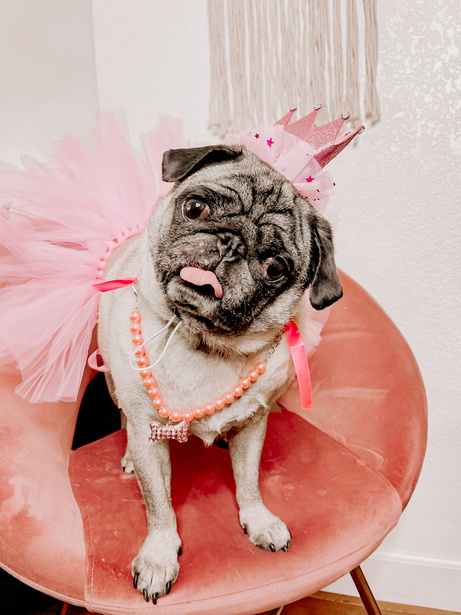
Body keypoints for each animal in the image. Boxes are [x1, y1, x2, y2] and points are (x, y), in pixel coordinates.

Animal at [97, 143, 343, 602]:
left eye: (275, 267)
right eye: (195, 208)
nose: (232, 242)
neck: (204, 342)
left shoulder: (255, 424)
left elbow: (249, 481)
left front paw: (258, 519)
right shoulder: (149, 435)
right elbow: (158, 504)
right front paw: (159, 556)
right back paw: (126, 457)